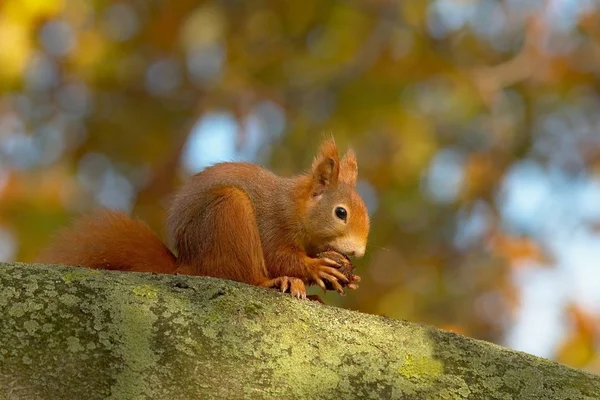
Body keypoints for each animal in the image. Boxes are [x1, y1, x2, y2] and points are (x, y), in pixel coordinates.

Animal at [37, 137, 370, 296]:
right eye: (340, 212)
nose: (358, 252)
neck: (298, 208)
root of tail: (188, 265)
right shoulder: (274, 222)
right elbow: (280, 256)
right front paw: (316, 268)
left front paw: (349, 277)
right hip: (228, 214)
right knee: (242, 276)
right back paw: (277, 282)